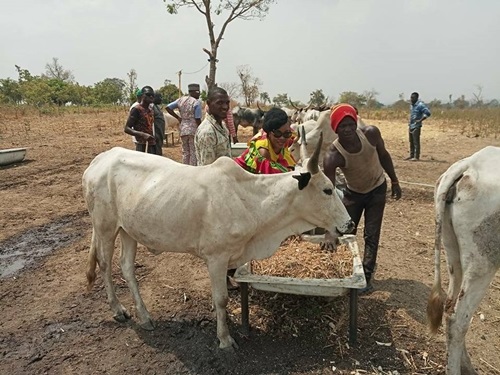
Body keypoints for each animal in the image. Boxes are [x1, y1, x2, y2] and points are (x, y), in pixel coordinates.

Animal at [82, 134, 354, 352]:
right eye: (327, 190)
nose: (350, 224)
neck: (250, 201)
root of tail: (99, 160)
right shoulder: (216, 258)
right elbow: (221, 298)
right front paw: (225, 339)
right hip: (105, 228)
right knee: (105, 265)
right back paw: (118, 310)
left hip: (128, 231)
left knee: (127, 268)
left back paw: (146, 317)